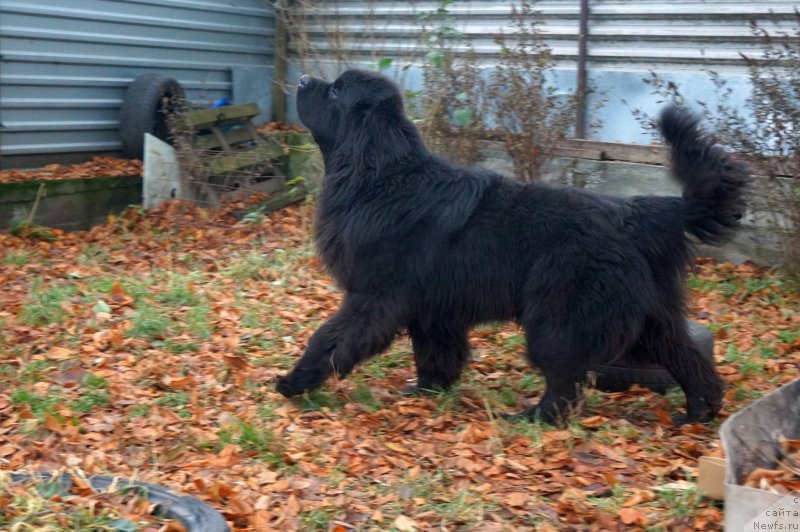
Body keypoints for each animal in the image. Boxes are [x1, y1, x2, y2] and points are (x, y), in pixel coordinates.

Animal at [276, 68, 752, 424]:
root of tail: (639, 213)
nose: (302, 78)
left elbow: (330, 337)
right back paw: (701, 409)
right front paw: (427, 391)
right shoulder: (432, 307)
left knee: (565, 380)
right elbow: (435, 353)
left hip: (558, 320)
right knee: (686, 355)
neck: (380, 176)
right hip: (649, 318)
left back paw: (534, 417)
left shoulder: (372, 297)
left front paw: (295, 381)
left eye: (335, 91)